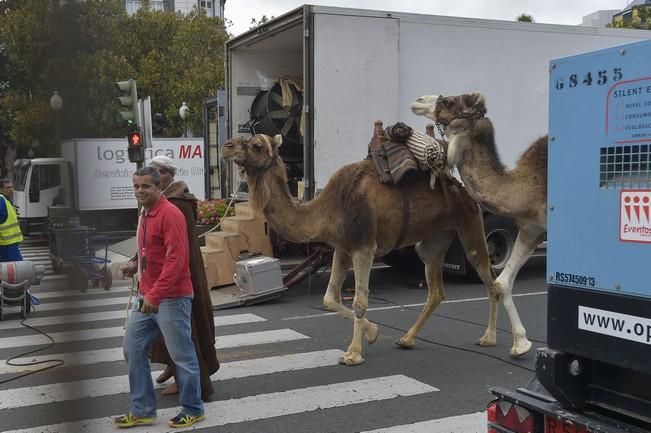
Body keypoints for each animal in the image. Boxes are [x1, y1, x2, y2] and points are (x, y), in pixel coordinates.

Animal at [222, 132, 502, 364]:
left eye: (257, 145)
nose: (226, 146)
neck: (329, 209)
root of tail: (463, 189)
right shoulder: (342, 248)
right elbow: (328, 299)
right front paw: (373, 333)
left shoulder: (363, 247)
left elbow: (359, 301)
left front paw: (354, 353)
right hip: (432, 241)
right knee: (436, 291)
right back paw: (407, 339)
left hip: (470, 224)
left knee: (492, 282)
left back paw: (497, 341)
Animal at [410, 93, 548, 356]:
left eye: (449, 101)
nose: (418, 101)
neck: (529, 185)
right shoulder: (532, 229)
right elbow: (502, 283)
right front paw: (521, 344)